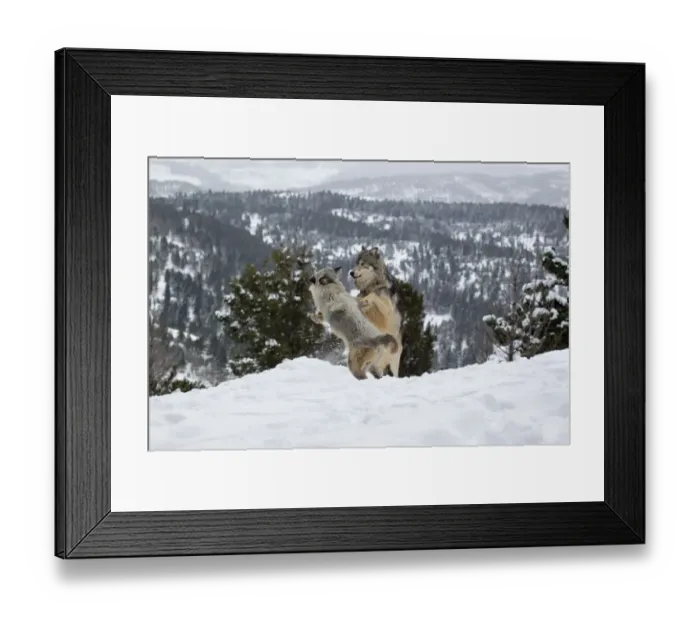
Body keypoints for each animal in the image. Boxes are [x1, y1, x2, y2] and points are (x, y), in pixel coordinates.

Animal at [349, 246, 403, 377]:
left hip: (393, 360)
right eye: (356, 263)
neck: (372, 285)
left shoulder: (388, 309)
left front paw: (366, 299)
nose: (351, 272)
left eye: (363, 264)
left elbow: (373, 295)